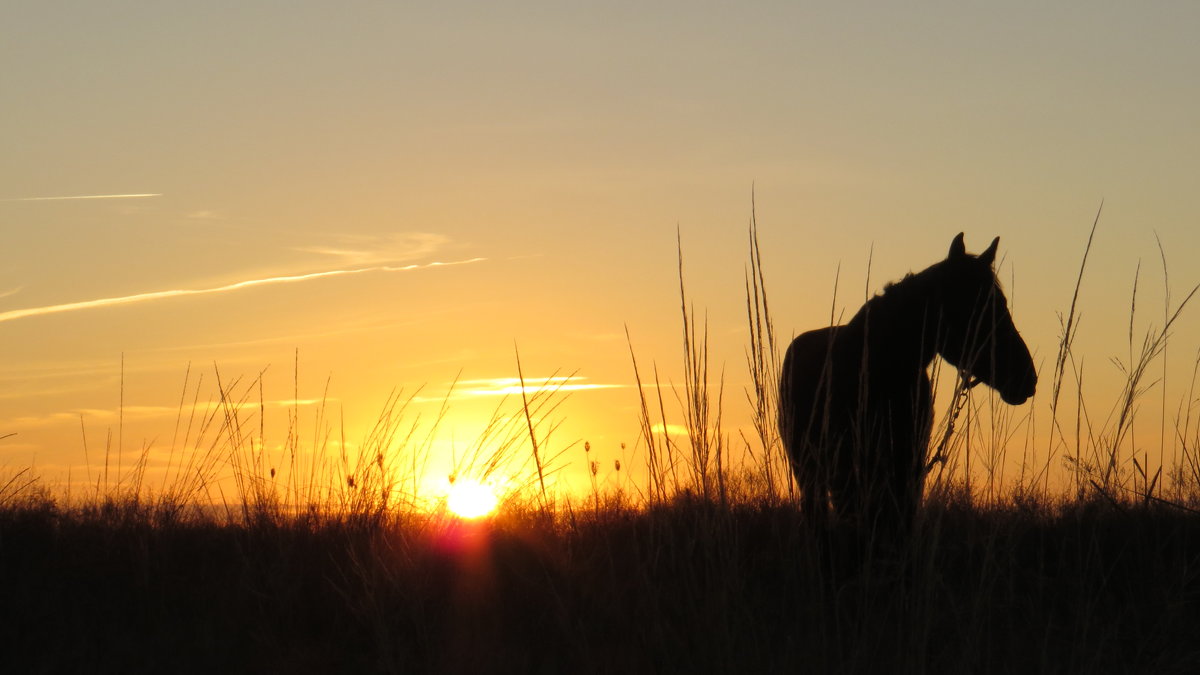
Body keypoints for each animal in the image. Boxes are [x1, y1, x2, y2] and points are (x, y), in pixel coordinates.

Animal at [772, 234, 1036, 528]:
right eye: (975, 306)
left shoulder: (907, 473)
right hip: (811, 474)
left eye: (1001, 302)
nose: (1027, 377)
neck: (878, 372)